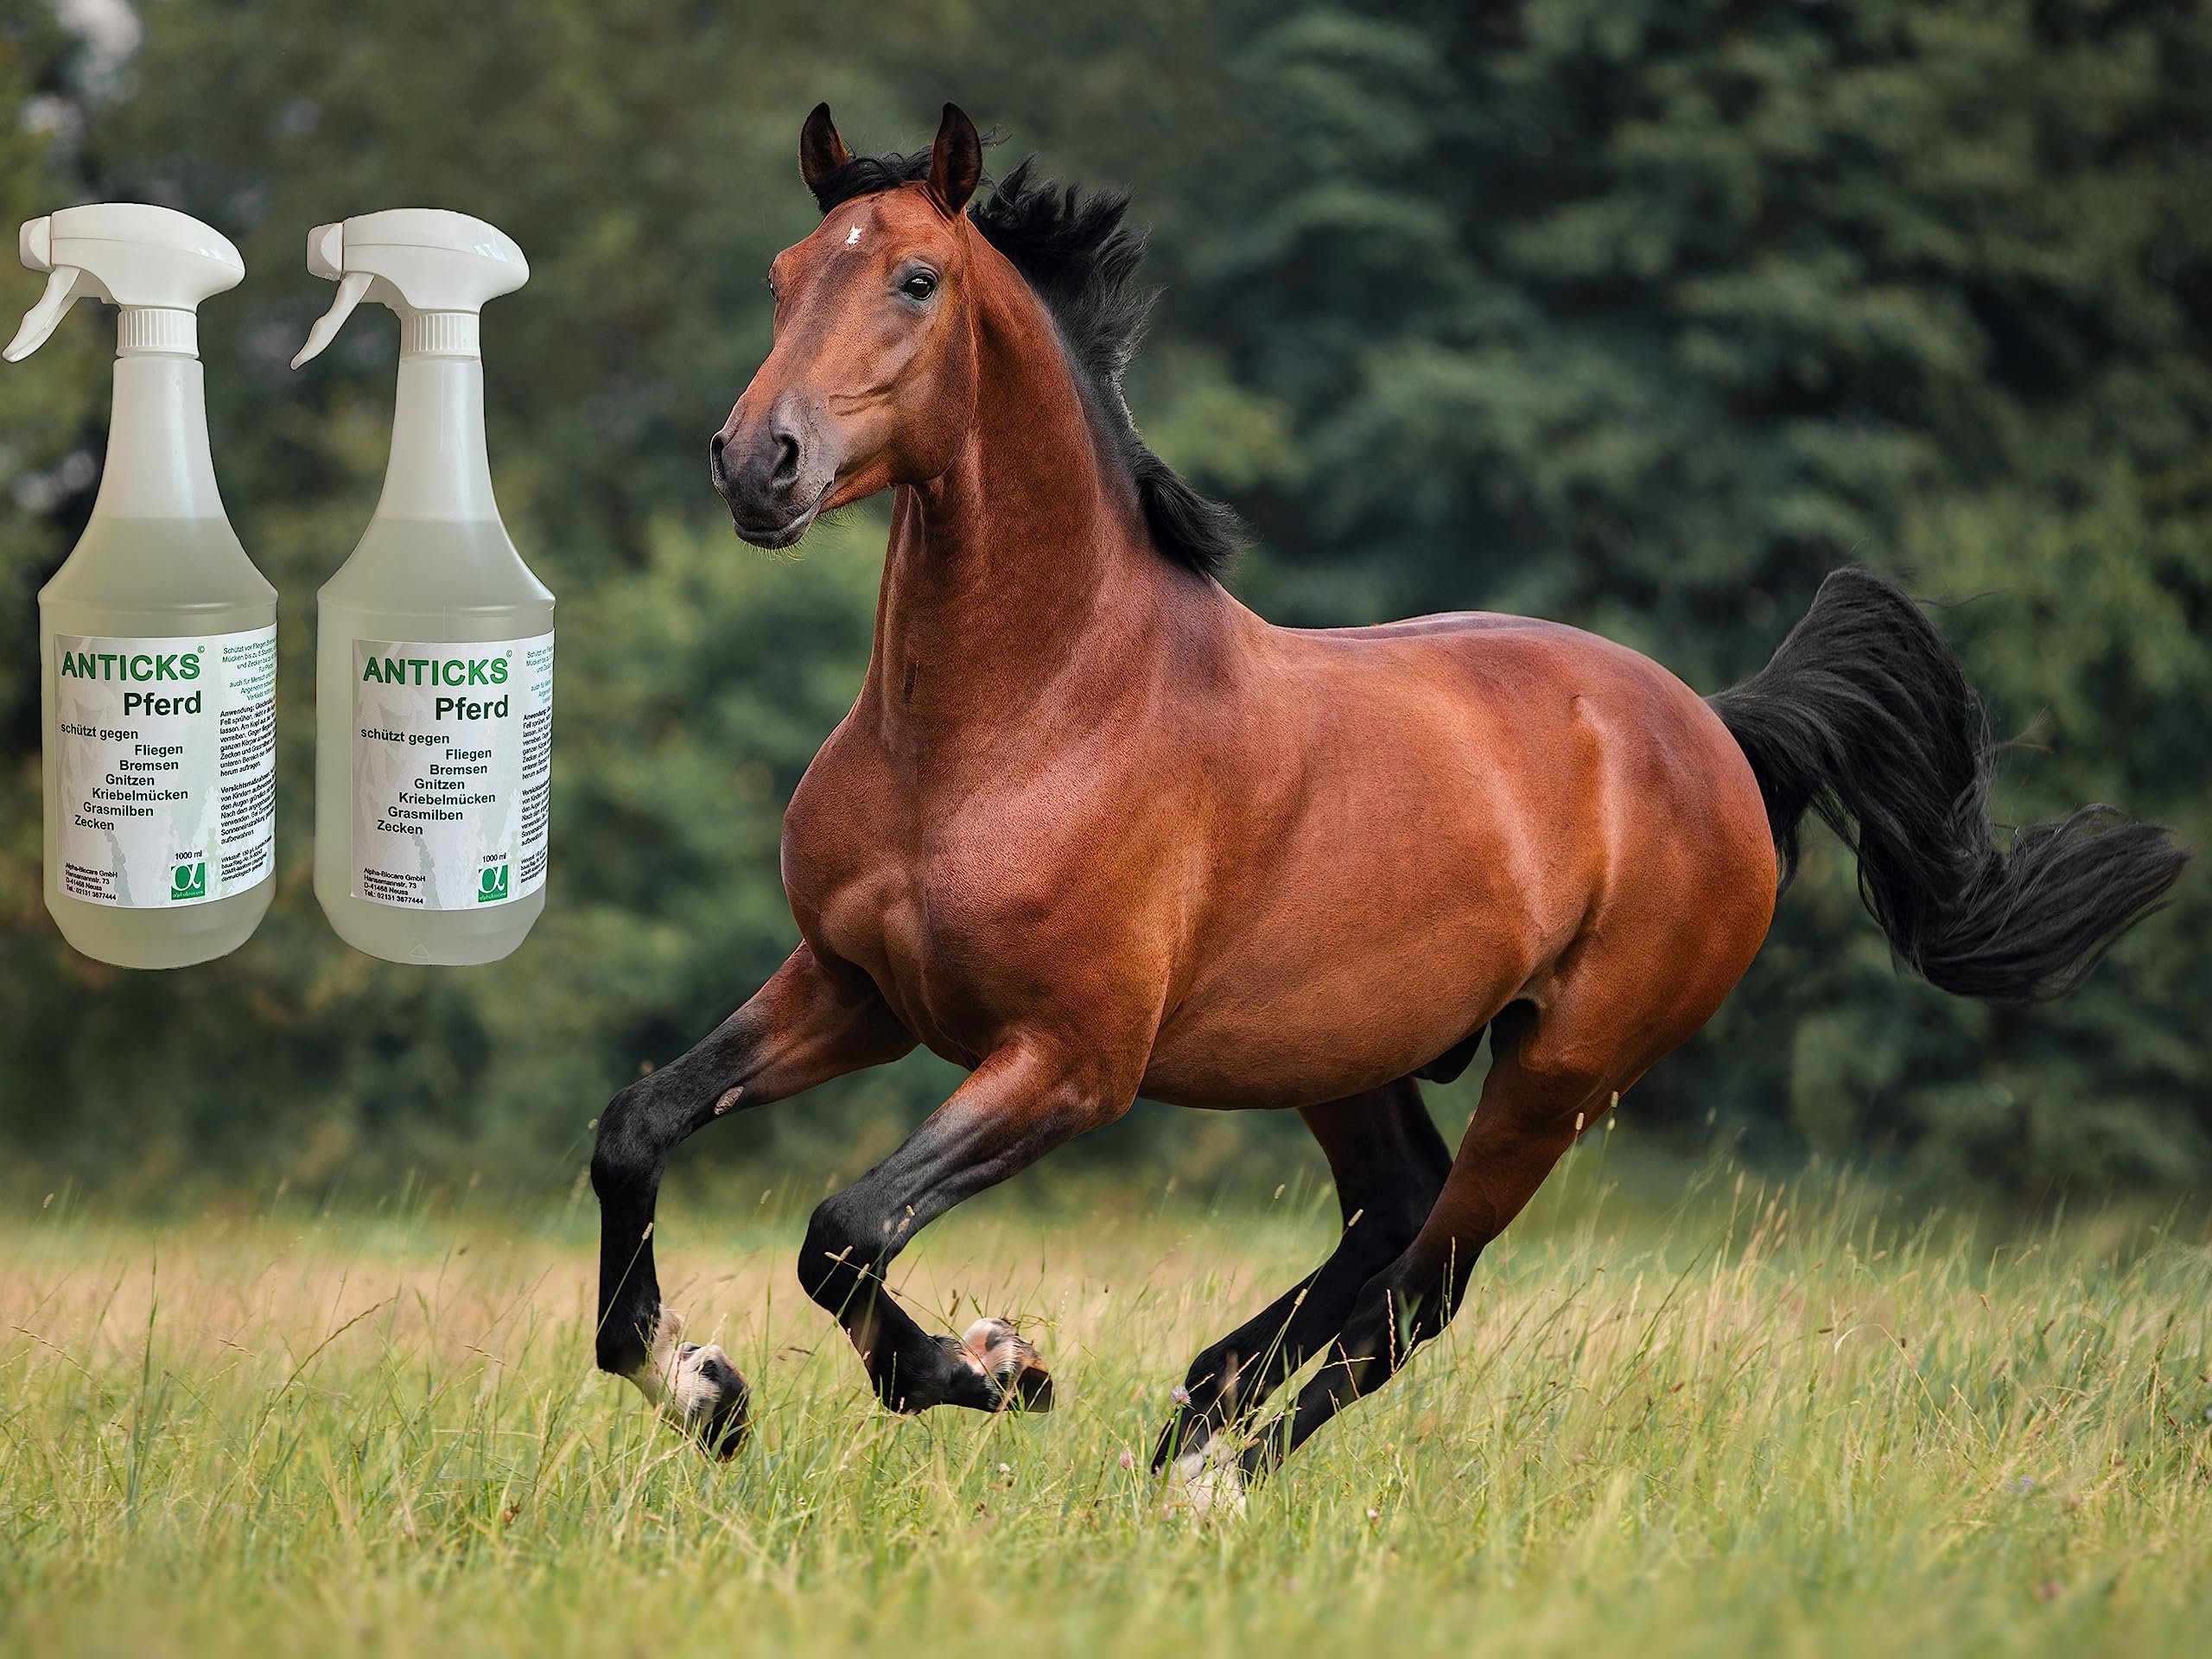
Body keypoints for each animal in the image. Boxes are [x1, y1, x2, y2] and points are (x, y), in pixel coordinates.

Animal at [588, 101, 2190, 1497]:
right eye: (783, 275)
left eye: (916, 278)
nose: (759, 462)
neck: (1021, 718)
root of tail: (1720, 734)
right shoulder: (856, 986)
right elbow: (641, 1129)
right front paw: (699, 1386)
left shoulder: (1070, 1062)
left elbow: (848, 1226)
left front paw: (993, 1367)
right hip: (1346, 1053)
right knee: (1390, 1221)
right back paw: (1196, 1410)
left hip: (1558, 1076)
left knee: (1425, 1288)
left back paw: (1211, 1479)